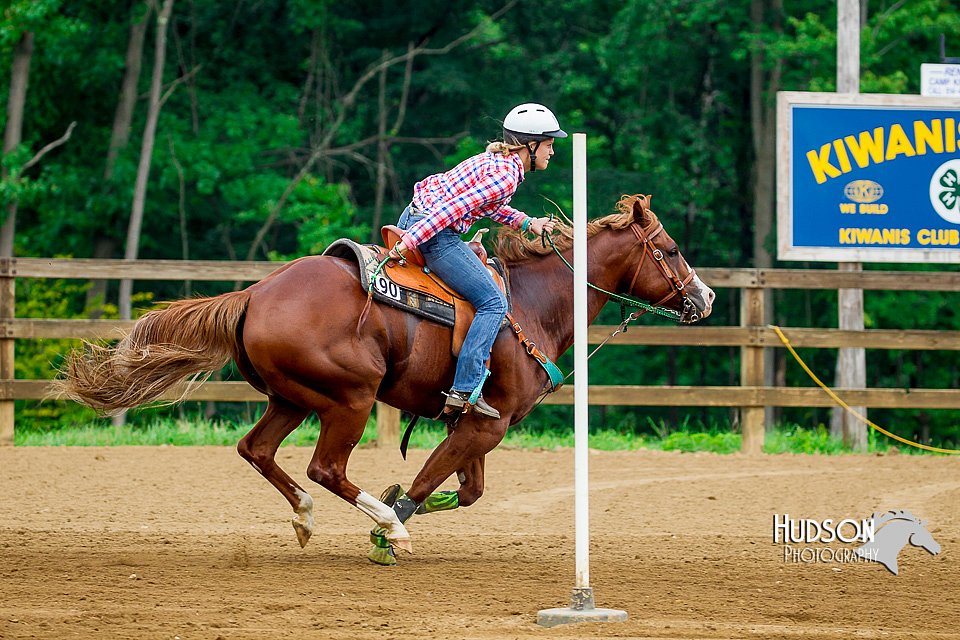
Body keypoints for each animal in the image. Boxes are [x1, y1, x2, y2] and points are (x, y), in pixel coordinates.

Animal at [54, 192, 712, 556]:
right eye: (672, 249)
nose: (704, 298)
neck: (530, 303)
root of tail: (255, 294)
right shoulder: (487, 424)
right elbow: (429, 482)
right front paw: (392, 526)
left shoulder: (470, 425)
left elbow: (467, 490)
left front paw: (405, 503)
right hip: (350, 397)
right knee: (325, 468)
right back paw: (382, 526)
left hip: (293, 398)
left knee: (257, 450)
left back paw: (306, 518)